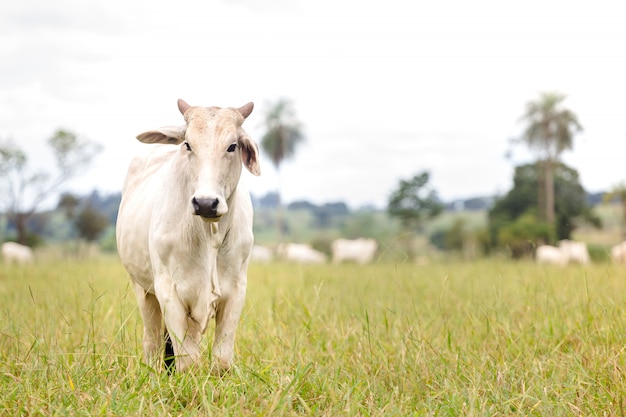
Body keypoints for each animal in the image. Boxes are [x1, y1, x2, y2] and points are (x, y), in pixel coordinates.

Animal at [116, 98, 260, 374]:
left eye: (232, 146)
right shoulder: (169, 292)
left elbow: (222, 360)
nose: (205, 203)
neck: (209, 235)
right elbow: (188, 362)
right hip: (142, 289)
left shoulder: (236, 291)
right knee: (152, 342)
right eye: (188, 144)